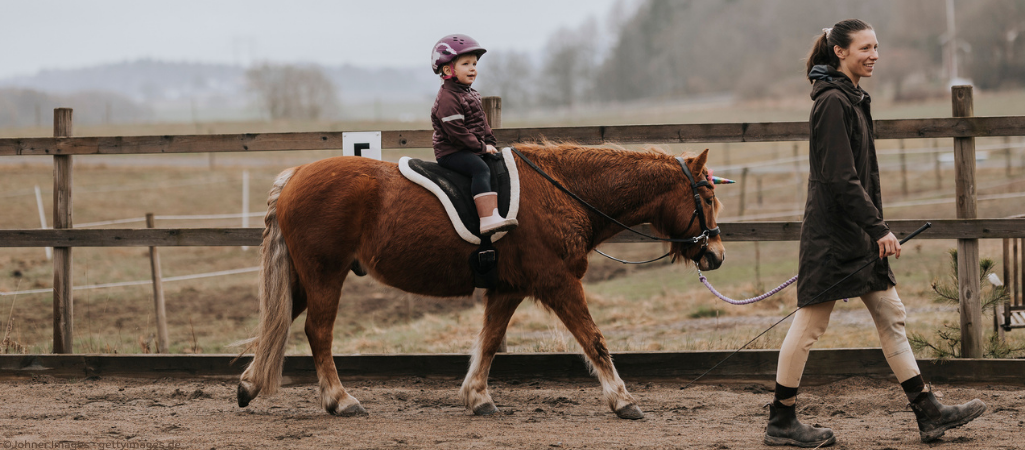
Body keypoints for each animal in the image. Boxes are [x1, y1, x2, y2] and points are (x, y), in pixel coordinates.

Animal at [237, 142, 726, 420]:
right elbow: (595, 340)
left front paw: (477, 397)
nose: (716, 255)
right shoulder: (558, 282)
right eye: (705, 196)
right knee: (317, 332)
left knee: (274, 326)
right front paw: (623, 401)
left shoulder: (509, 289)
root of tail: (295, 176)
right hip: (325, 274)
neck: (562, 190)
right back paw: (340, 401)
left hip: (303, 279)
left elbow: (489, 342)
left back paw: (249, 385)